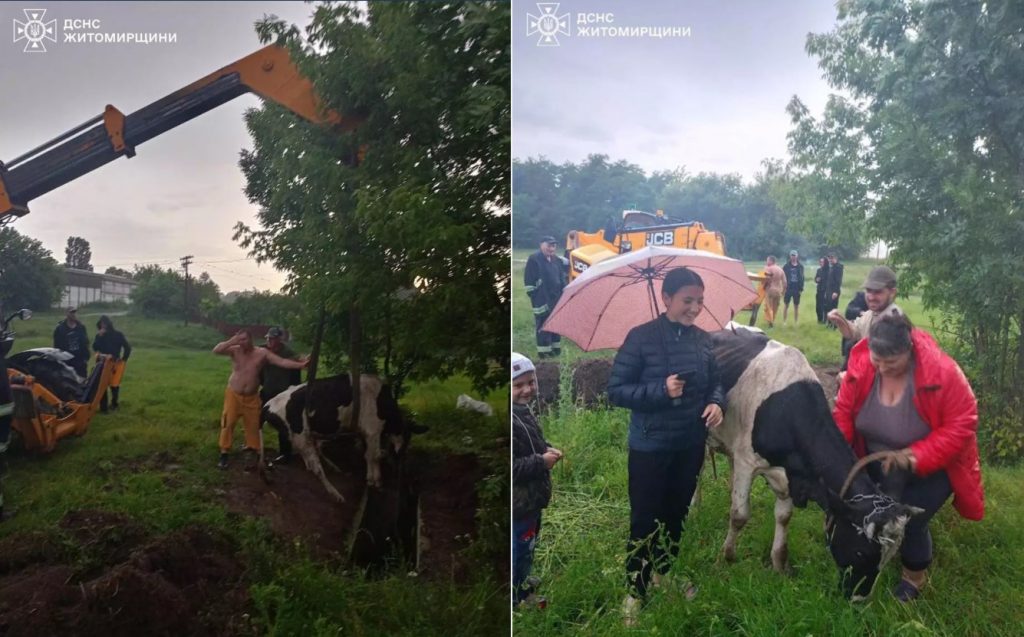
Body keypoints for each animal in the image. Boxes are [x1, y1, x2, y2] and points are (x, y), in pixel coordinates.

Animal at [264, 374, 428, 503]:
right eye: (408, 436)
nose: (401, 455)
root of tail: (268, 404)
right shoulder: (373, 430)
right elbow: (374, 455)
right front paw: (376, 481)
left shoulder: (366, 432)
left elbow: (370, 454)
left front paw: (373, 478)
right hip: (301, 436)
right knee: (317, 467)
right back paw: (336, 494)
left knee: (313, 458)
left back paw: (334, 468)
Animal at [708, 327, 925, 602]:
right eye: (862, 553)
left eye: (889, 557)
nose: (859, 600)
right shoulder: (748, 461)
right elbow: (739, 515)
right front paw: (727, 557)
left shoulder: (789, 474)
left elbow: (784, 517)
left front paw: (779, 564)